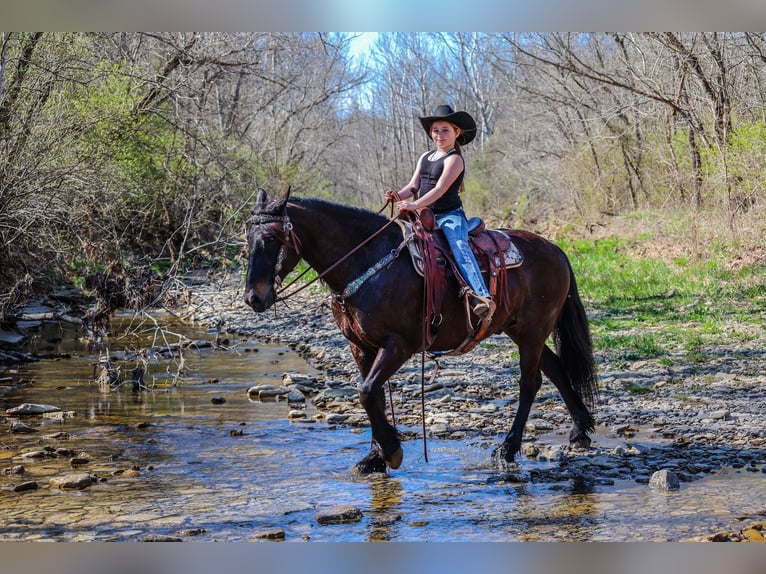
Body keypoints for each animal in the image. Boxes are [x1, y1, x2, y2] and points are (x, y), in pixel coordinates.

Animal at [246, 191, 600, 474]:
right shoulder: (360, 346)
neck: (366, 262)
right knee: (554, 368)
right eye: (248, 238)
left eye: (272, 239)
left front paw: (391, 451)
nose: (254, 297)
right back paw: (580, 430)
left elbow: (366, 392)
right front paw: (375, 457)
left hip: (532, 330)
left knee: (530, 383)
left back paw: (508, 449)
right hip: (519, 329)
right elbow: (373, 395)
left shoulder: (398, 345)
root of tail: (555, 249)